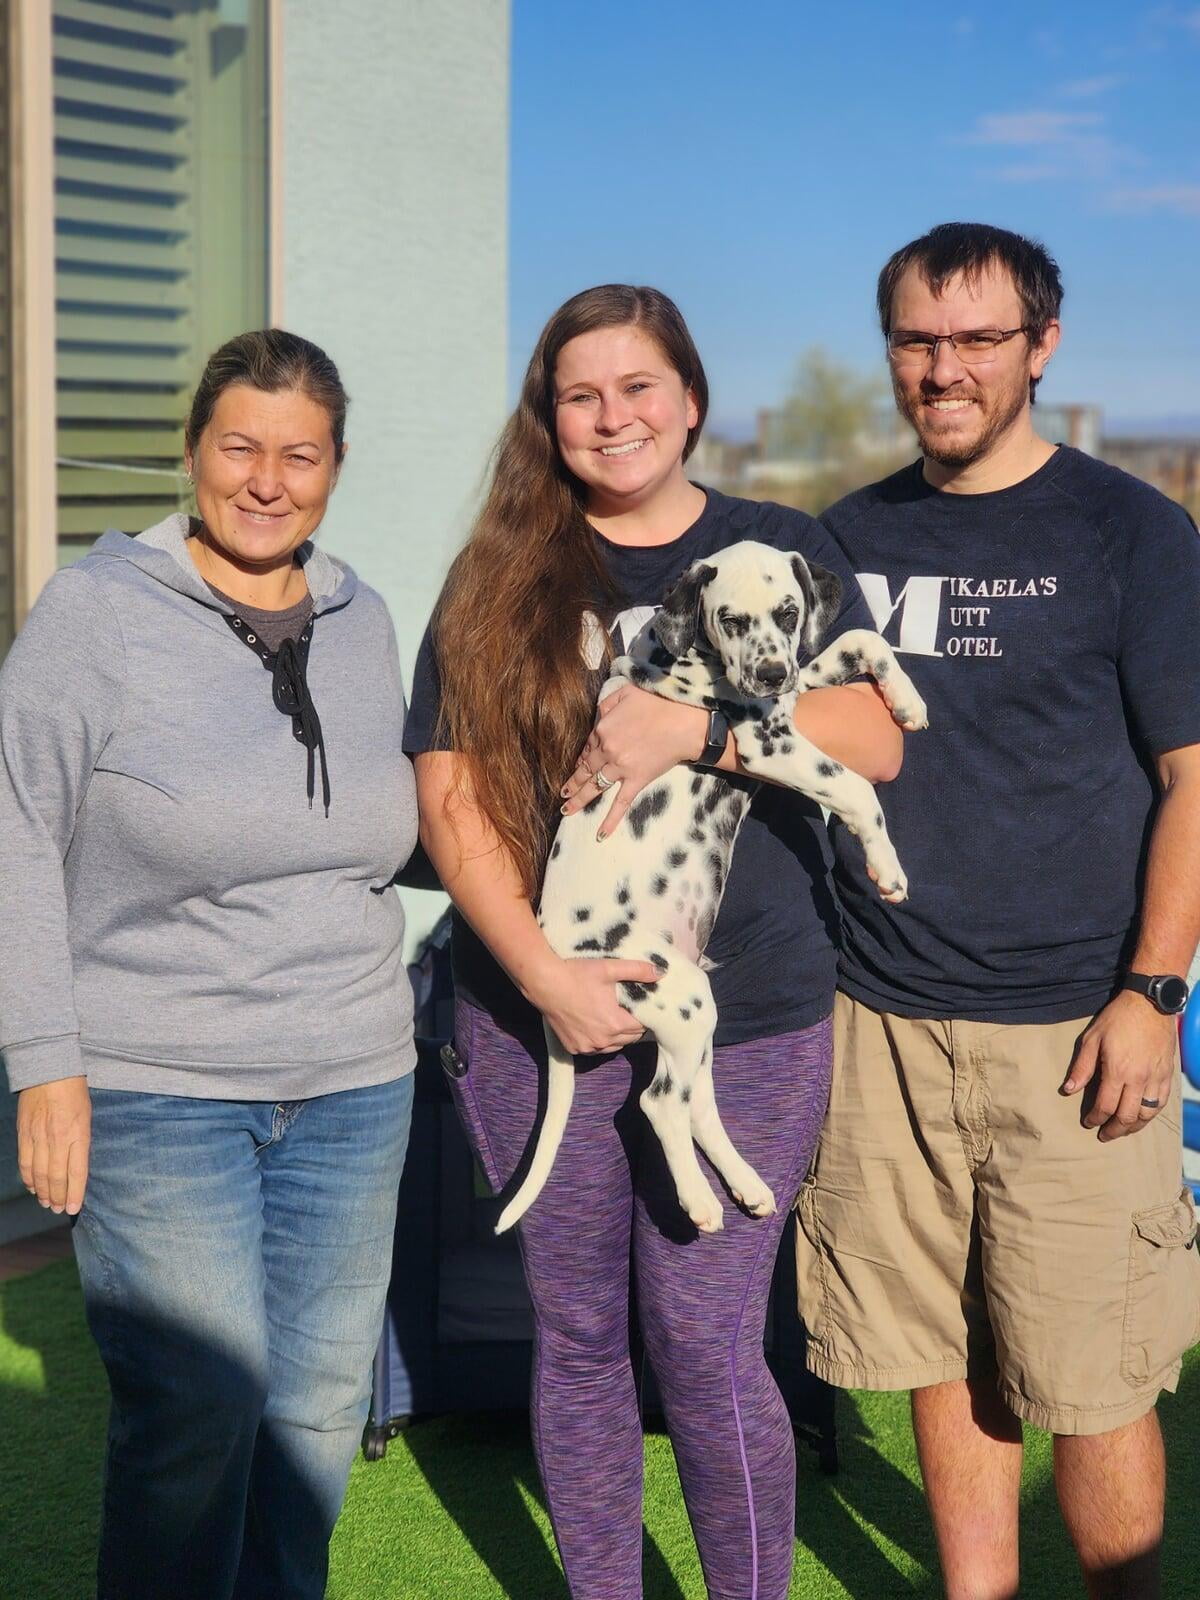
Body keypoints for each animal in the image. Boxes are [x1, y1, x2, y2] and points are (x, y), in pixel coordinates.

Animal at [499, 540, 928, 1235]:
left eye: (789, 611)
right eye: (729, 619)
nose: (770, 672)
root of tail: (555, 954)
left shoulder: (794, 693)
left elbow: (859, 638)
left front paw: (908, 703)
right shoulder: (767, 743)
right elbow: (858, 788)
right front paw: (886, 868)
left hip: (691, 1021)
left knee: (694, 1103)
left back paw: (747, 1186)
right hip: (682, 997)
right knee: (658, 1103)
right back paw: (699, 1201)